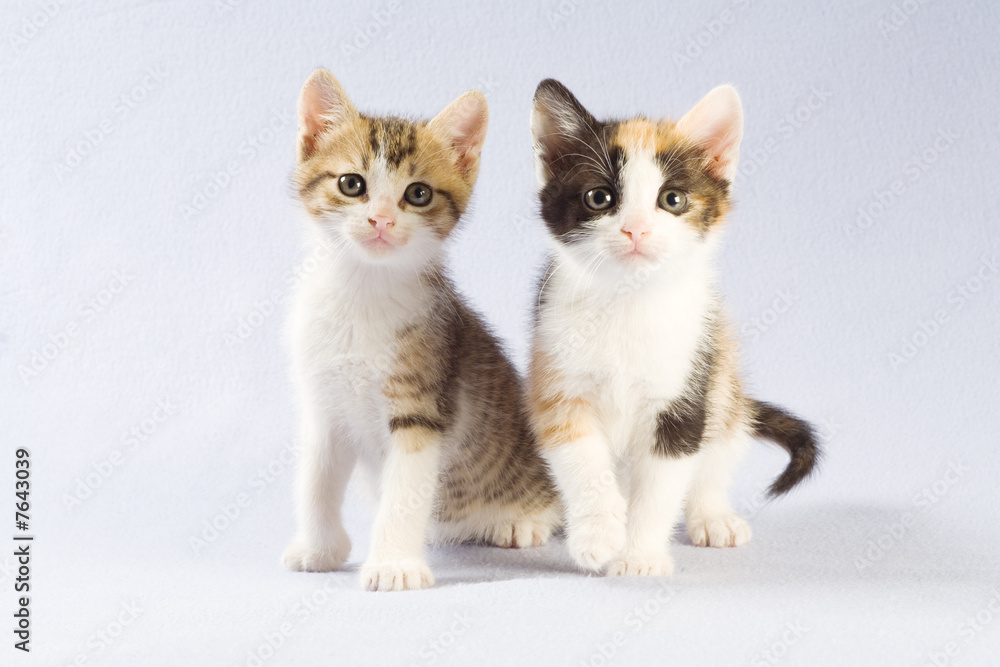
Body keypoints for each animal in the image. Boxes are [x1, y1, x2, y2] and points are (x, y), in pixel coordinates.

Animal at [284, 70, 564, 592]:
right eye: (351, 184)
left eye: (418, 193)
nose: (380, 219)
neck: (362, 291)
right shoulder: (324, 403)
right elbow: (316, 480)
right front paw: (319, 549)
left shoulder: (422, 405)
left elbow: (405, 489)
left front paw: (394, 564)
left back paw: (521, 521)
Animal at [528, 81, 816, 576]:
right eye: (599, 198)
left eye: (673, 200)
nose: (636, 230)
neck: (628, 302)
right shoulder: (558, 384)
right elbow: (583, 462)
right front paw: (597, 534)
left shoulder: (685, 394)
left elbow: (660, 486)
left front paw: (639, 556)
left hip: (724, 382)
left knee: (717, 449)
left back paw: (713, 514)